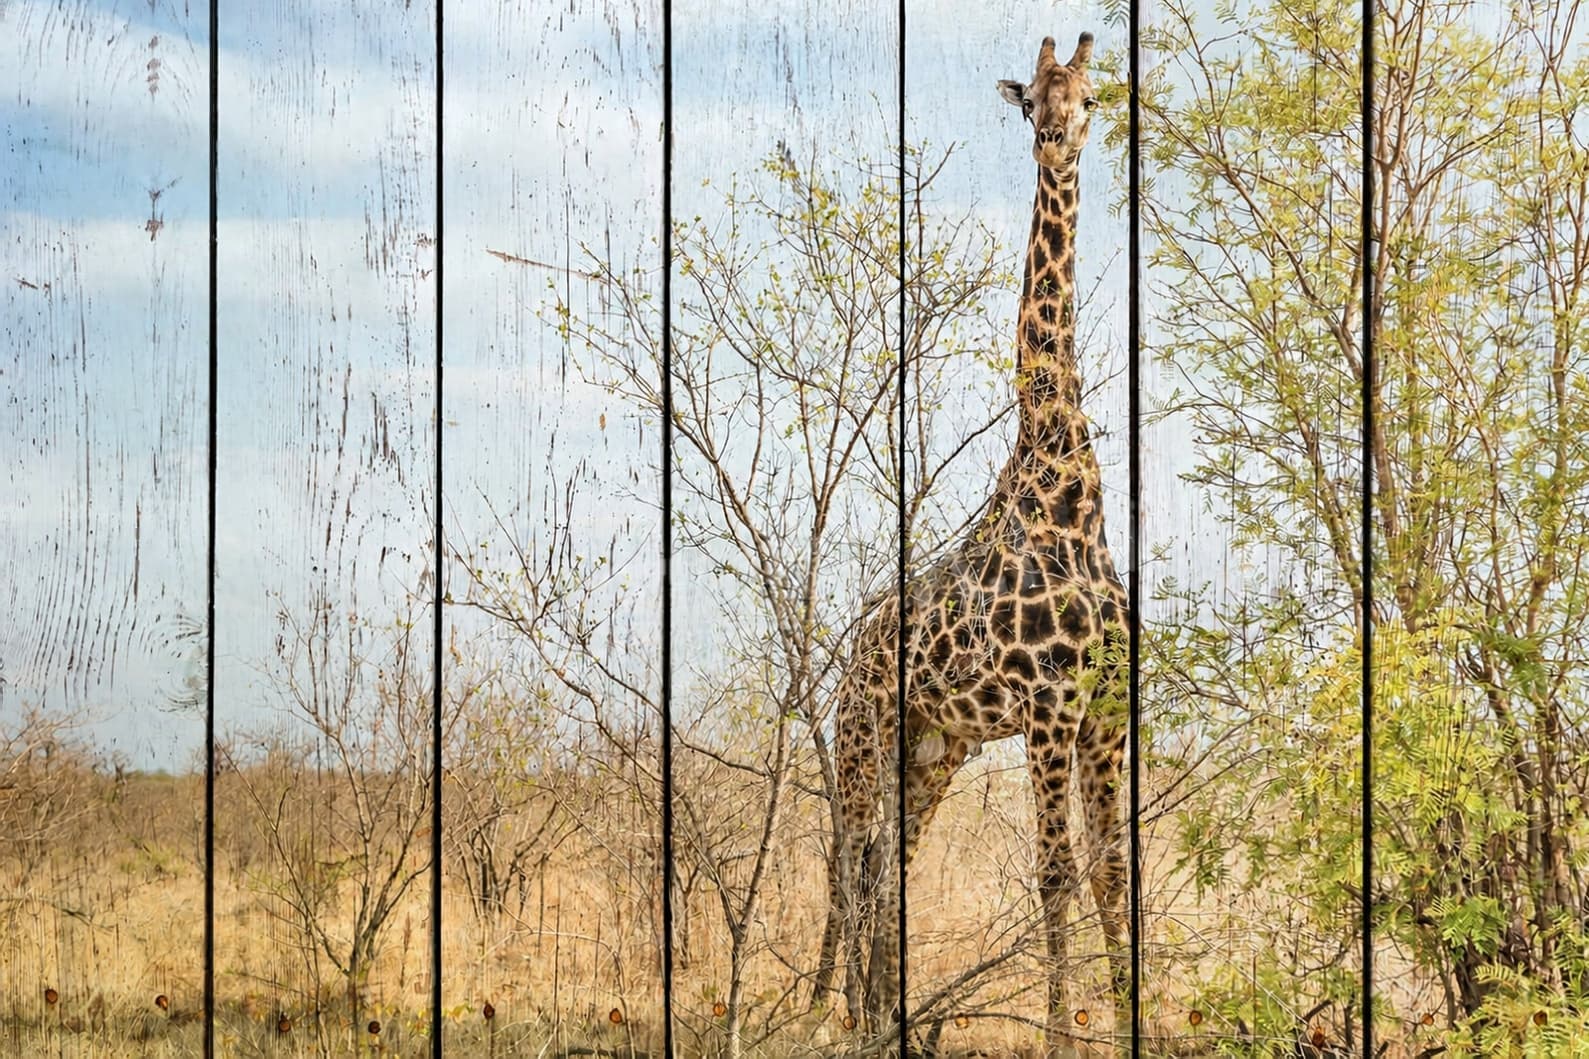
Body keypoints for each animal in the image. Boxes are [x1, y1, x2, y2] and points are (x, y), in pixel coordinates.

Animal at [813, 32, 1128, 1055]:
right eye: (1031, 97)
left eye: (1090, 96)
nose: (1053, 136)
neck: (1068, 488)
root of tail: (852, 649)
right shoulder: (1048, 708)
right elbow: (1056, 873)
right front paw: (1065, 1034)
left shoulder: (1104, 712)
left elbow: (1110, 872)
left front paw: (1133, 1019)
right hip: (865, 739)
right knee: (853, 859)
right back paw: (851, 1016)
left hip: (932, 747)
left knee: (889, 867)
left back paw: (890, 1019)